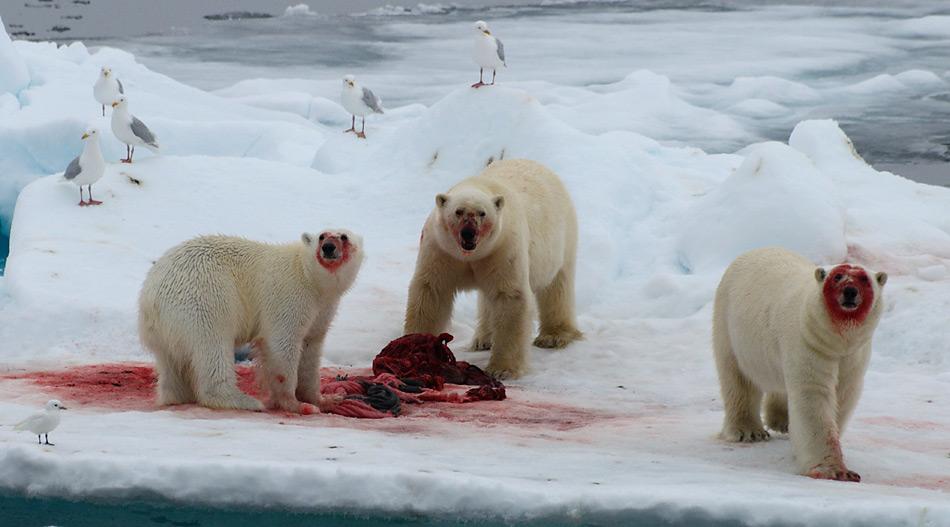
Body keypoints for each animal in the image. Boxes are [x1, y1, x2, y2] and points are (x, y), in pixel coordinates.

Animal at [139, 230, 364, 412]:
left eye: (344, 237)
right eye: (322, 236)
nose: (328, 248)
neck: (309, 277)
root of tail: (150, 296)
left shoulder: (322, 308)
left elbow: (310, 348)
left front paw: (327, 399)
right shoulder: (289, 297)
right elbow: (283, 344)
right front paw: (296, 404)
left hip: (166, 329)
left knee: (172, 364)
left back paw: (176, 396)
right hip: (204, 297)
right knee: (213, 345)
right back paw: (244, 401)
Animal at [406, 159, 584, 382]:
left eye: (482, 213)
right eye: (458, 211)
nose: (469, 233)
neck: (470, 255)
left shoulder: (503, 248)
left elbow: (509, 296)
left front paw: (502, 369)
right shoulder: (441, 250)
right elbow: (431, 292)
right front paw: (415, 345)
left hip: (561, 238)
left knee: (557, 286)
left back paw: (554, 336)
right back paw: (483, 339)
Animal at [716, 246, 888, 482]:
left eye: (864, 279)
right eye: (838, 276)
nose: (850, 291)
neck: (837, 341)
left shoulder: (854, 356)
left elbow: (842, 395)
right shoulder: (808, 343)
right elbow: (812, 395)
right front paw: (834, 470)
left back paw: (782, 421)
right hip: (730, 327)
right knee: (738, 378)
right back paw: (748, 431)